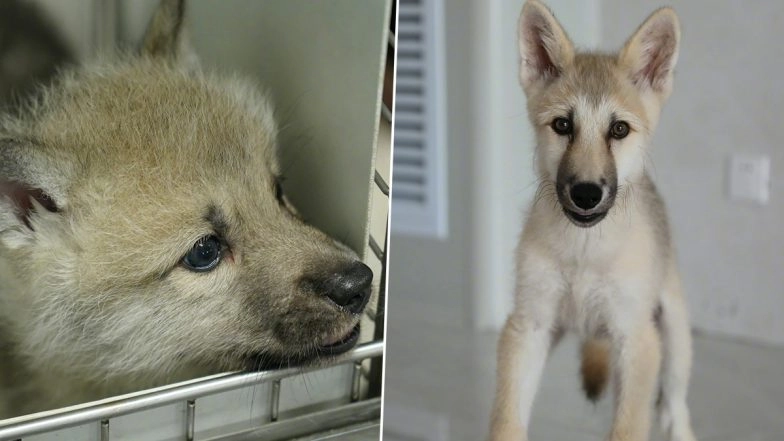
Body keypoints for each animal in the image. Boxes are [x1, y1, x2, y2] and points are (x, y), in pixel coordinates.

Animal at [488, 2, 696, 441]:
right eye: (563, 125)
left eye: (619, 129)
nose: (586, 194)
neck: (584, 252)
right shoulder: (528, 327)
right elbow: (506, 421)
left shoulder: (636, 340)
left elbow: (629, 427)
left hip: (673, 338)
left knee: (674, 407)